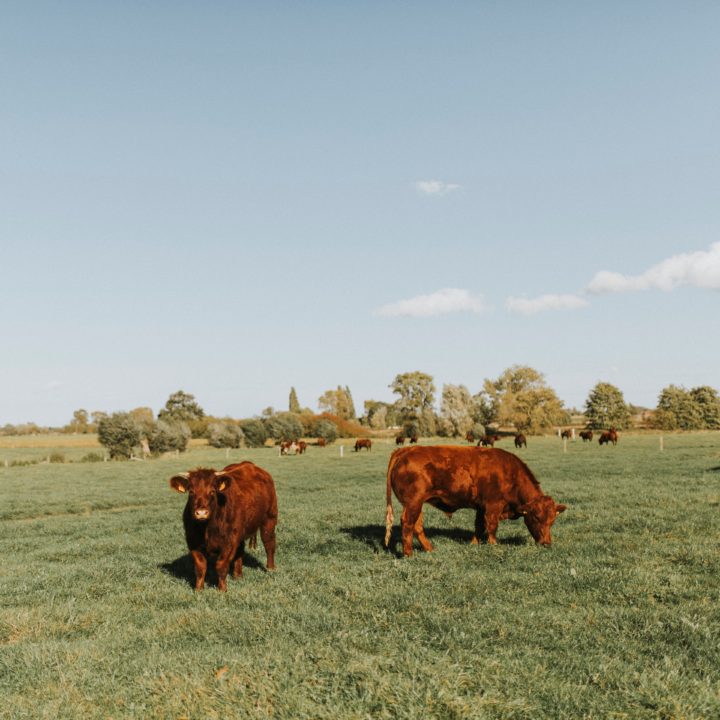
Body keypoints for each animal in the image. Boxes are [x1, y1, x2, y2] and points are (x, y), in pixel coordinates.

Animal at [169, 464, 278, 592]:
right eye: (191, 492)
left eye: (212, 491)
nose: (201, 513)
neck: (207, 529)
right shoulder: (193, 542)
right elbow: (200, 566)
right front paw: (198, 589)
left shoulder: (228, 543)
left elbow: (221, 566)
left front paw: (222, 589)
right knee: (240, 550)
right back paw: (237, 575)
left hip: (269, 519)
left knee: (269, 544)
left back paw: (270, 568)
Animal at [386, 444, 564, 556]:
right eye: (536, 518)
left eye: (552, 521)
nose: (546, 543)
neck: (510, 473)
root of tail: (406, 449)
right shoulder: (493, 505)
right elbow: (491, 526)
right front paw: (493, 545)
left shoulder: (481, 507)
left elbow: (479, 526)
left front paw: (474, 543)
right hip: (413, 503)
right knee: (407, 523)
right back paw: (408, 554)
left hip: (417, 504)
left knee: (417, 526)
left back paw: (430, 549)